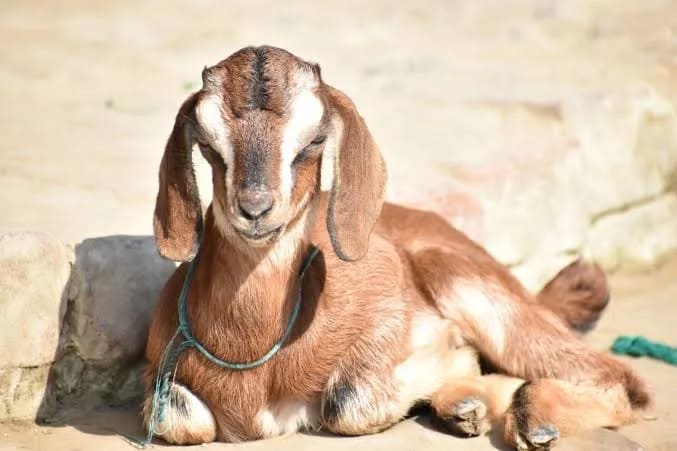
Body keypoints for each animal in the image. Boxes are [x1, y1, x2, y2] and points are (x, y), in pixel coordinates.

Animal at [144, 46, 652, 449]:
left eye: (314, 141)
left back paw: (533, 420)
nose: (254, 208)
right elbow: (176, 417)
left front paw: (451, 357)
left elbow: (346, 401)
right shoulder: (159, 373)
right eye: (208, 143)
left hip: (470, 286)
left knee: (623, 382)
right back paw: (464, 407)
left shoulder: (387, 316)